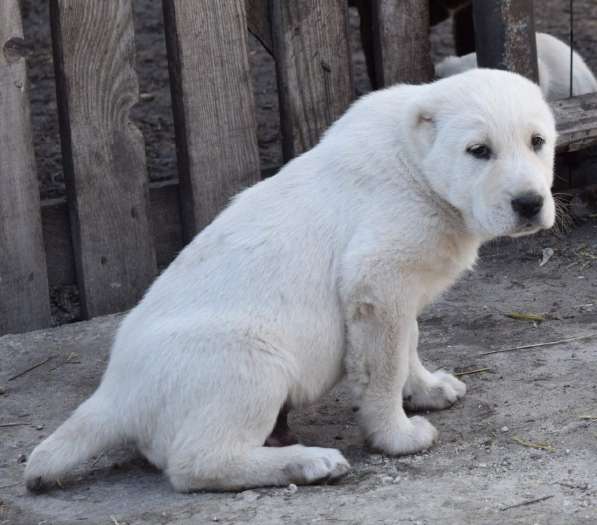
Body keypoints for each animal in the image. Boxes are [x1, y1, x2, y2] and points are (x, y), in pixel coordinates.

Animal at [23, 68, 556, 492]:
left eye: (537, 142)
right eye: (478, 150)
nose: (529, 203)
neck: (415, 165)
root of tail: (114, 395)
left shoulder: (396, 286)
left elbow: (408, 339)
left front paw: (428, 389)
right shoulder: (378, 276)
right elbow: (384, 360)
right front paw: (398, 435)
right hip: (244, 360)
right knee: (197, 462)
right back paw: (309, 462)